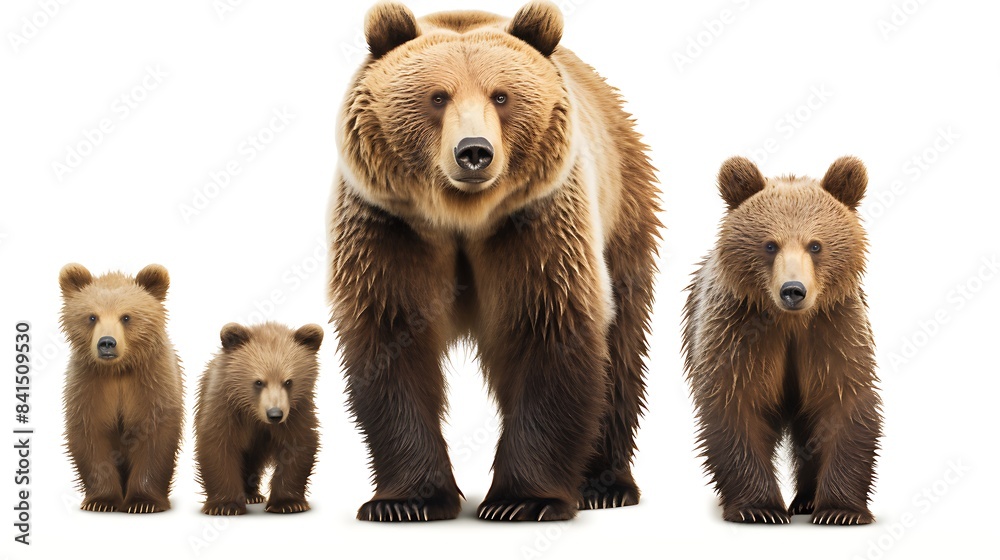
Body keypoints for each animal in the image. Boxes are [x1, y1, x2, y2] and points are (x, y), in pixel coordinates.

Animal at [59, 263, 184, 513]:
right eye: (92, 316)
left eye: (126, 317)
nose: (107, 343)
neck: (117, 370)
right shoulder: (88, 385)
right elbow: (91, 435)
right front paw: (101, 500)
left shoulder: (152, 383)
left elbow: (154, 436)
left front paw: (143, 502)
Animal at [194, 322, 323, 515]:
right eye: (258, 382)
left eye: (288, 382)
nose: (275, 414)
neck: (255, 415)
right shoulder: (225, 409)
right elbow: (218, 446)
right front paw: (225, 505)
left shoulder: (297, 412)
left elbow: (297, 446)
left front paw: (287, 503)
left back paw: (252, 495)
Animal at [329, 1, 660, 522]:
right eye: (437, 96)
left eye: (501, 96)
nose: (474, 152)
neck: (463, 216)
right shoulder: (390, 225)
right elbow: (391, 339)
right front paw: (405, 500)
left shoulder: (536, 222)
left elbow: (548, 329)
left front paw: (522, 500)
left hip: (622, 209)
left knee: (622, 345)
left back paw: (604, 485)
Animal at [682, 156, 883, 525]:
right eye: (770, 244)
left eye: (815, 245)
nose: (793, 290)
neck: (790, 323)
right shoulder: (737, 331)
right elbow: (734, 402)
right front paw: (759, 508)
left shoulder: (834, 329)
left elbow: (843, 402)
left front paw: (840, 511)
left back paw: (805, 501)